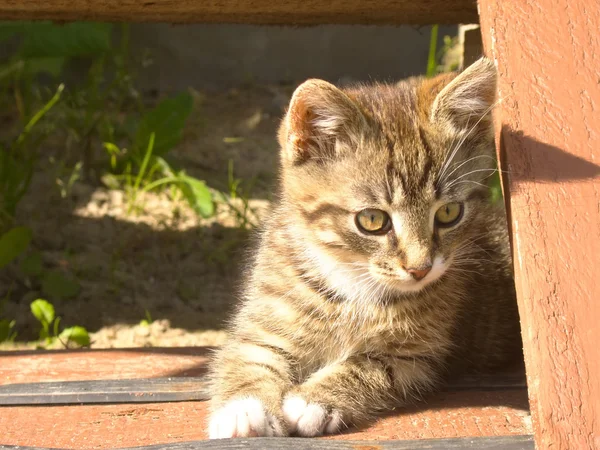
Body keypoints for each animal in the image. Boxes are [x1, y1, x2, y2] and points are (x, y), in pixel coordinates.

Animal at [209, 58, 524, 438]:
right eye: (372, 220)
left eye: (449, 212)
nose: (421, 268)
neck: (350, 280)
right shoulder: (263, 320)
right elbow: (248, 357)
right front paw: (243, 409)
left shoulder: (417, 355)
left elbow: (369, 365)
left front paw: (314, 400)